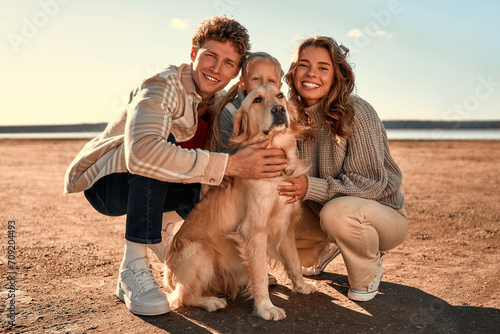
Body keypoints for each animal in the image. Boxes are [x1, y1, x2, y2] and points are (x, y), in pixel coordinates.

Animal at [164, 85, 314, 320]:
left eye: (280, 95)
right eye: (257, 100)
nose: (279, 109)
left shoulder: (286, 225)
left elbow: (294, 261)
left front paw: (301, 286)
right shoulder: (254, 230)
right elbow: (260, 275)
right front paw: (266, 308)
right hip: (201, 250)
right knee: (183, 296)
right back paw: (211, 301)